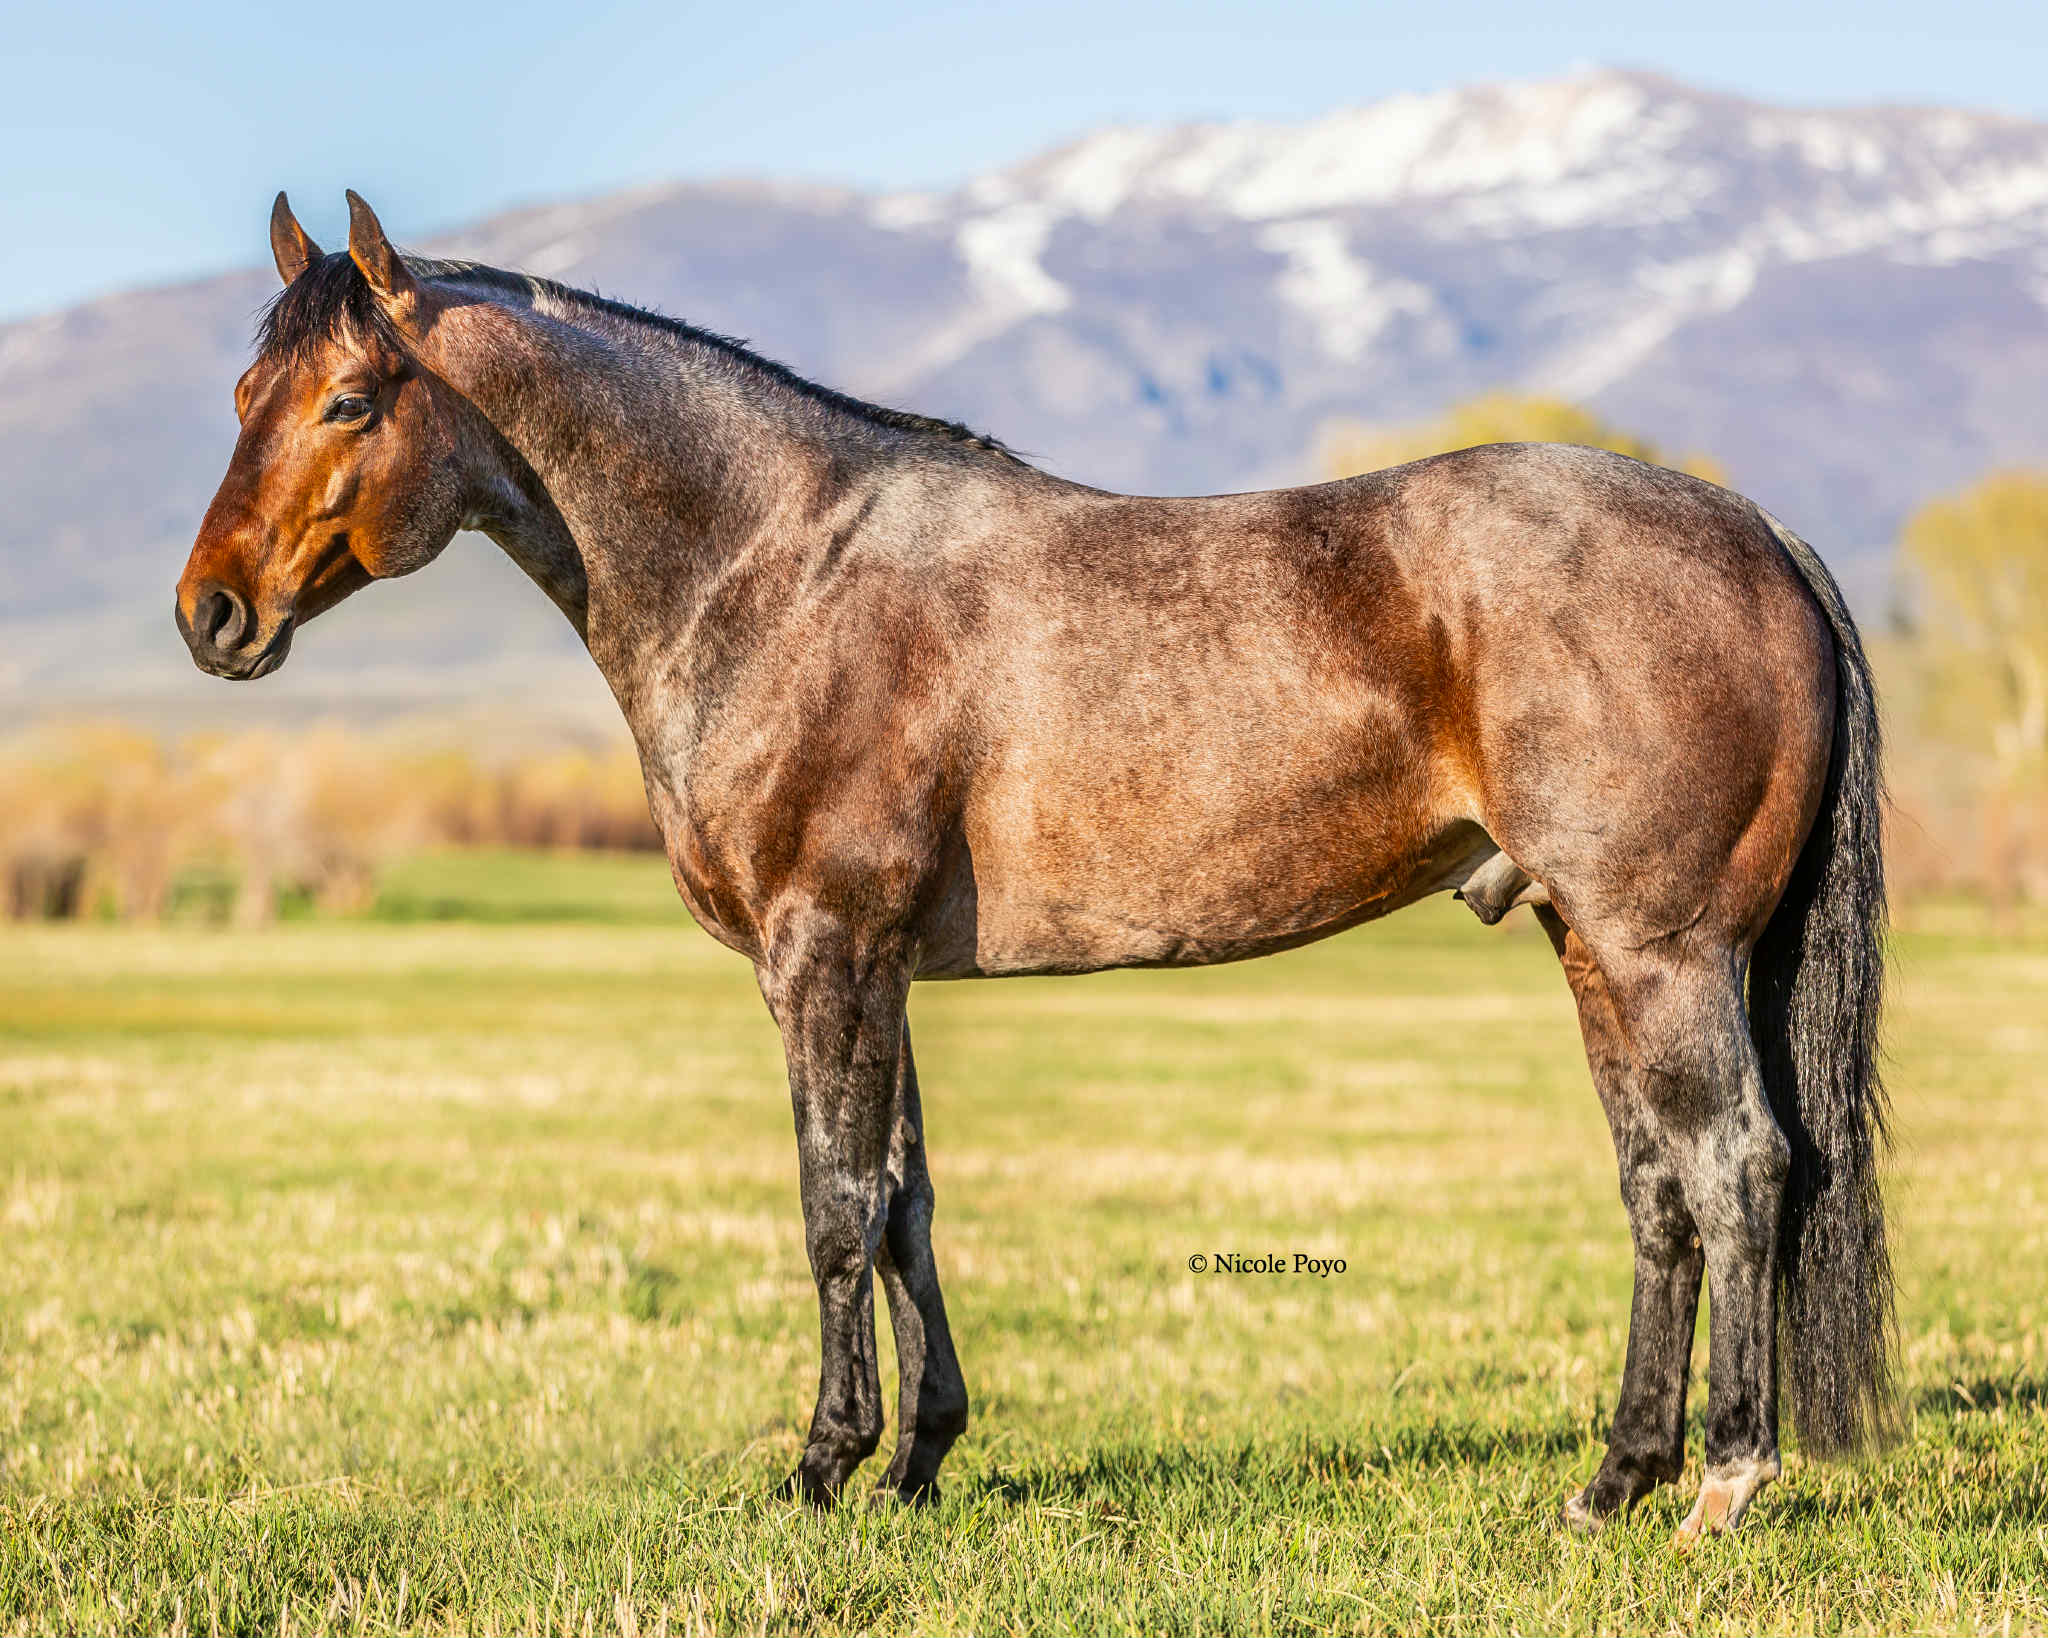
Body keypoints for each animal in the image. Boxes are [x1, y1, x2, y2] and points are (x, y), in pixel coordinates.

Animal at [175, 192, 1893, 1542]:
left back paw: (1724, 1481)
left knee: (1739, 1165)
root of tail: (1760, 532)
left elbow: (835, 1202)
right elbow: (908, 1202)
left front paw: (824, 1466)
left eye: (349, 402)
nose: (211, 614)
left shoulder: (821, 953)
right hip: (1586, 943)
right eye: (245, 387)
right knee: (1659, 1188)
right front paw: (918, 1459)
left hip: (1662, 951)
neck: (780, 570)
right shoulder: (878, 969)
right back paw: (1612, 1480)